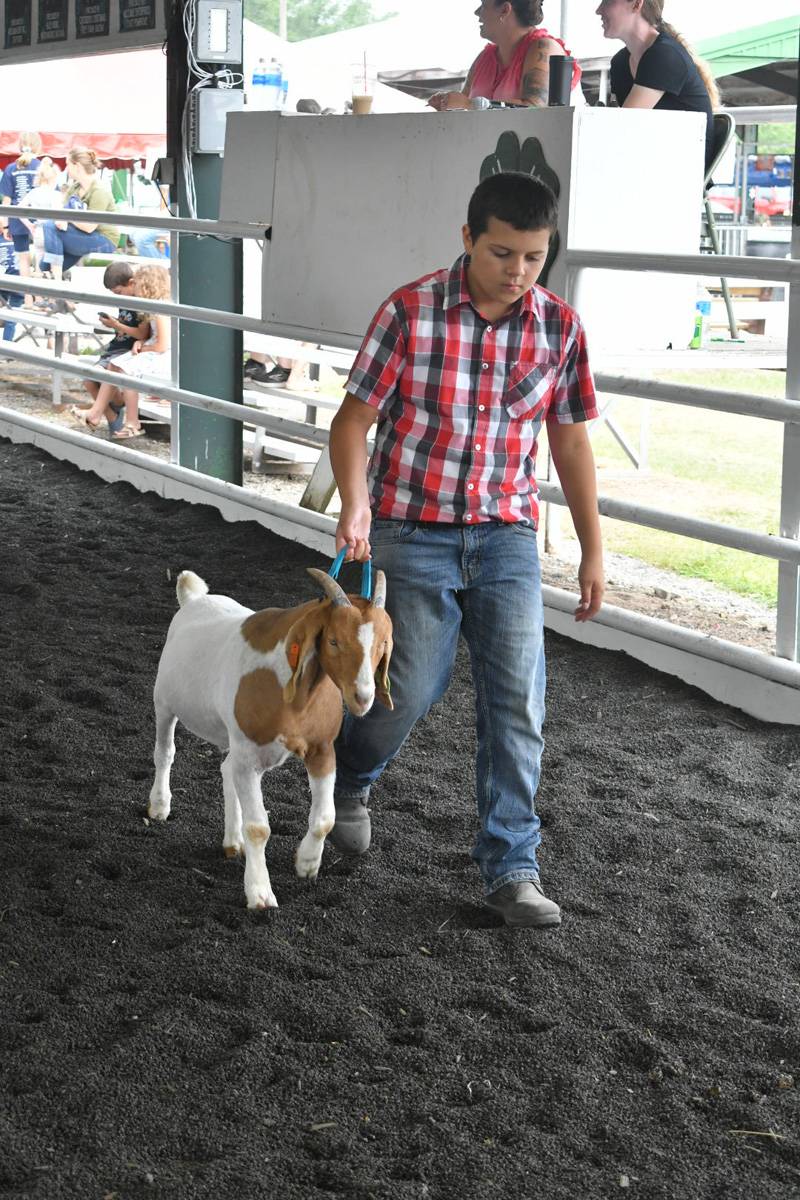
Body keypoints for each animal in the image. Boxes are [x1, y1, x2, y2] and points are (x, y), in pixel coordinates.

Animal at [148, 566, 393, 902]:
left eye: (382, 644)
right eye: (333, 641)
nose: (363, 697)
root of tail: (194, 599)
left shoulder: (322, 749)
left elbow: (325, 819)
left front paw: (307, 862)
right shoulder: (250, 755)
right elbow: (259, 828)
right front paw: (260, 892)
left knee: (227, 769)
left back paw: (232, 841)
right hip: (164, 701)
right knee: (165, 753)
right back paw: (160, 805)